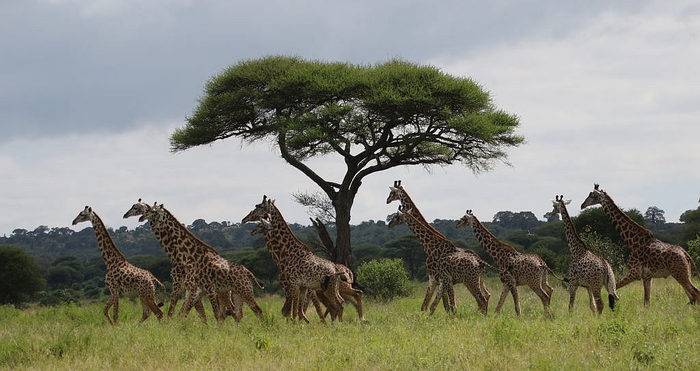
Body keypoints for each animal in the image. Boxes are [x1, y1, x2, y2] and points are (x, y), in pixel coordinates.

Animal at [386, 182, 490, 312]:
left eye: (392, 192)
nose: (387, 200)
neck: (431, 246)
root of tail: (479, 260)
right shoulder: (438, 279)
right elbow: (434, 305)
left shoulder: (438, 277)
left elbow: (442, 305)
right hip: (476, 279)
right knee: (485, 296)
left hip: (470, 280)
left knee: (482, 299)